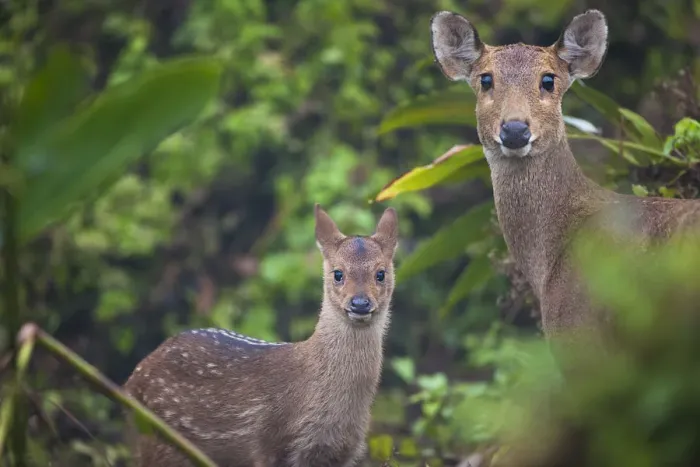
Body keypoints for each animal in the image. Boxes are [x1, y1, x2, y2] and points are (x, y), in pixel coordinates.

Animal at [123, 204, 399, 467]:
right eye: (338, 273)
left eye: (381, 273)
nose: (360, 303)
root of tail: (132, 379)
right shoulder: (270, 444)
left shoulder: (342, 454)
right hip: (159, 443)